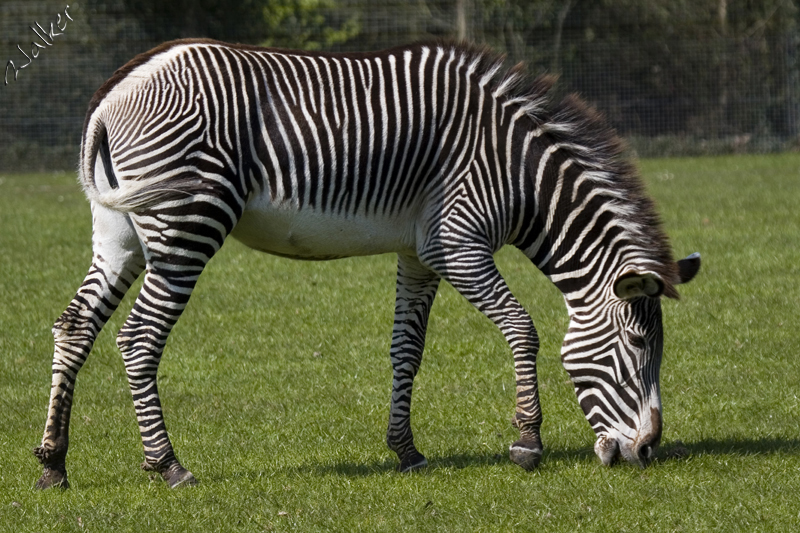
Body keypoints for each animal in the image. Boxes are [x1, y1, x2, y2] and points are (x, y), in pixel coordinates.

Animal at [34, 39, 700, 488]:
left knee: (75, 327)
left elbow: (408, 350)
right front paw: (526, 442)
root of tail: (117, 88)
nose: (647, 452)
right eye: (638, 346)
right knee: (139, 337)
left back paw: (53, 463)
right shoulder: (457, 241)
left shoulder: (420, 252)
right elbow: (522, 328)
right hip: (186, 222)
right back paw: (167, 464)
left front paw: (406, 450)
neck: (517, 172)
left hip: (119, 230)